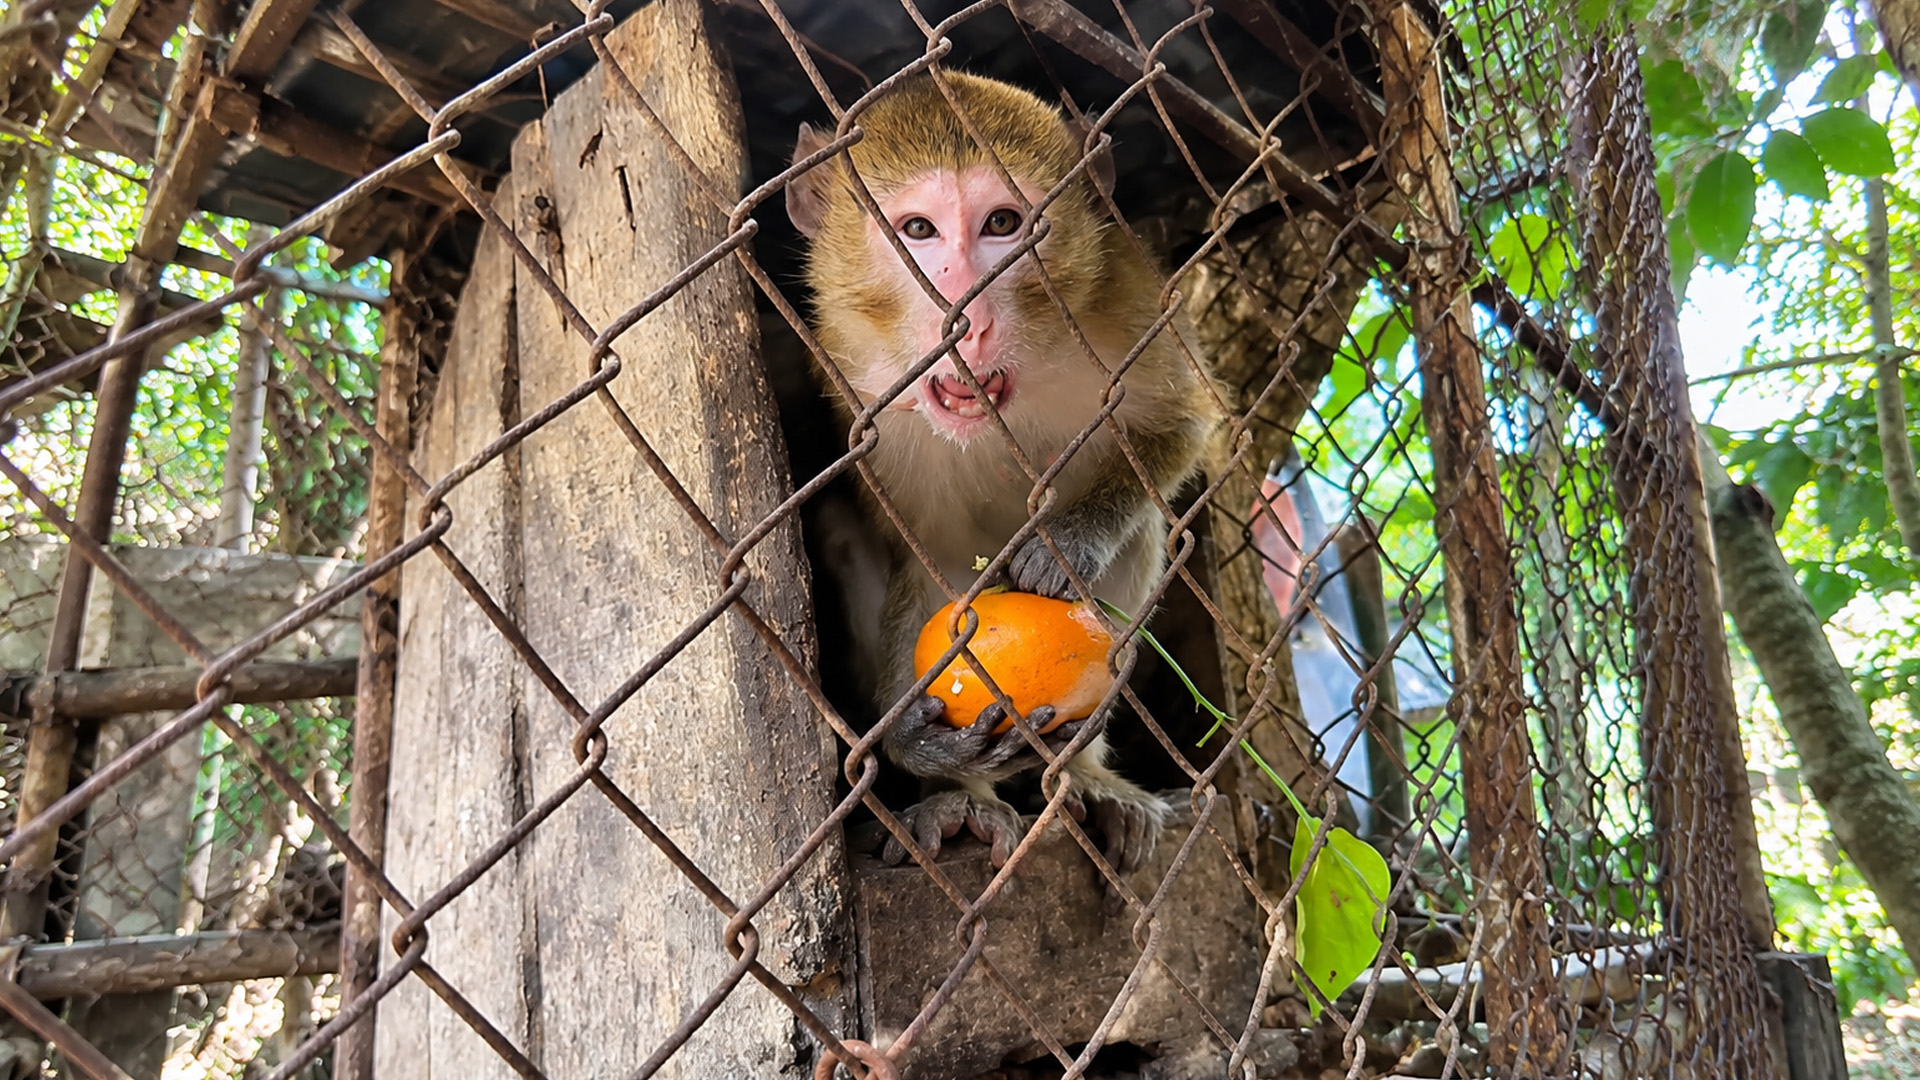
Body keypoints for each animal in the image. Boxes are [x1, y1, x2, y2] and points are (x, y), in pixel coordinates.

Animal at [787, 71, 1218, 876]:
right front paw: (928, 753)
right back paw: (962, 803)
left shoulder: (1123, 300)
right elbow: (935, 555)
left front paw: (1064, 541)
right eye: (918, 231)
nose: (968, 317)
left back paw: (1086, 777)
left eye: (1004, 223)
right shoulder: (865, 395)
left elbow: (1174, 426)